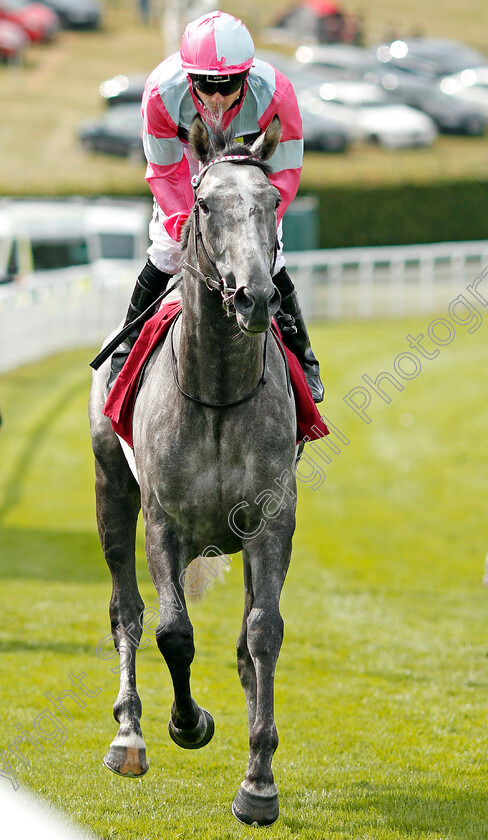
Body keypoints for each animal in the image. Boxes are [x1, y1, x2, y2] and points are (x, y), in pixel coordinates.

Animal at [89, 113, 298, 828]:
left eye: (273, 201)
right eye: (205, 204)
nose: (256, 295)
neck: (216, 392)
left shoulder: (271, 521)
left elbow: (262, 633)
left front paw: (259, 781)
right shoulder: (164, 522)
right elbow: (172, 633)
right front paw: (190, 722)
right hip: (111, 491)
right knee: (126, 611)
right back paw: (130, 735)